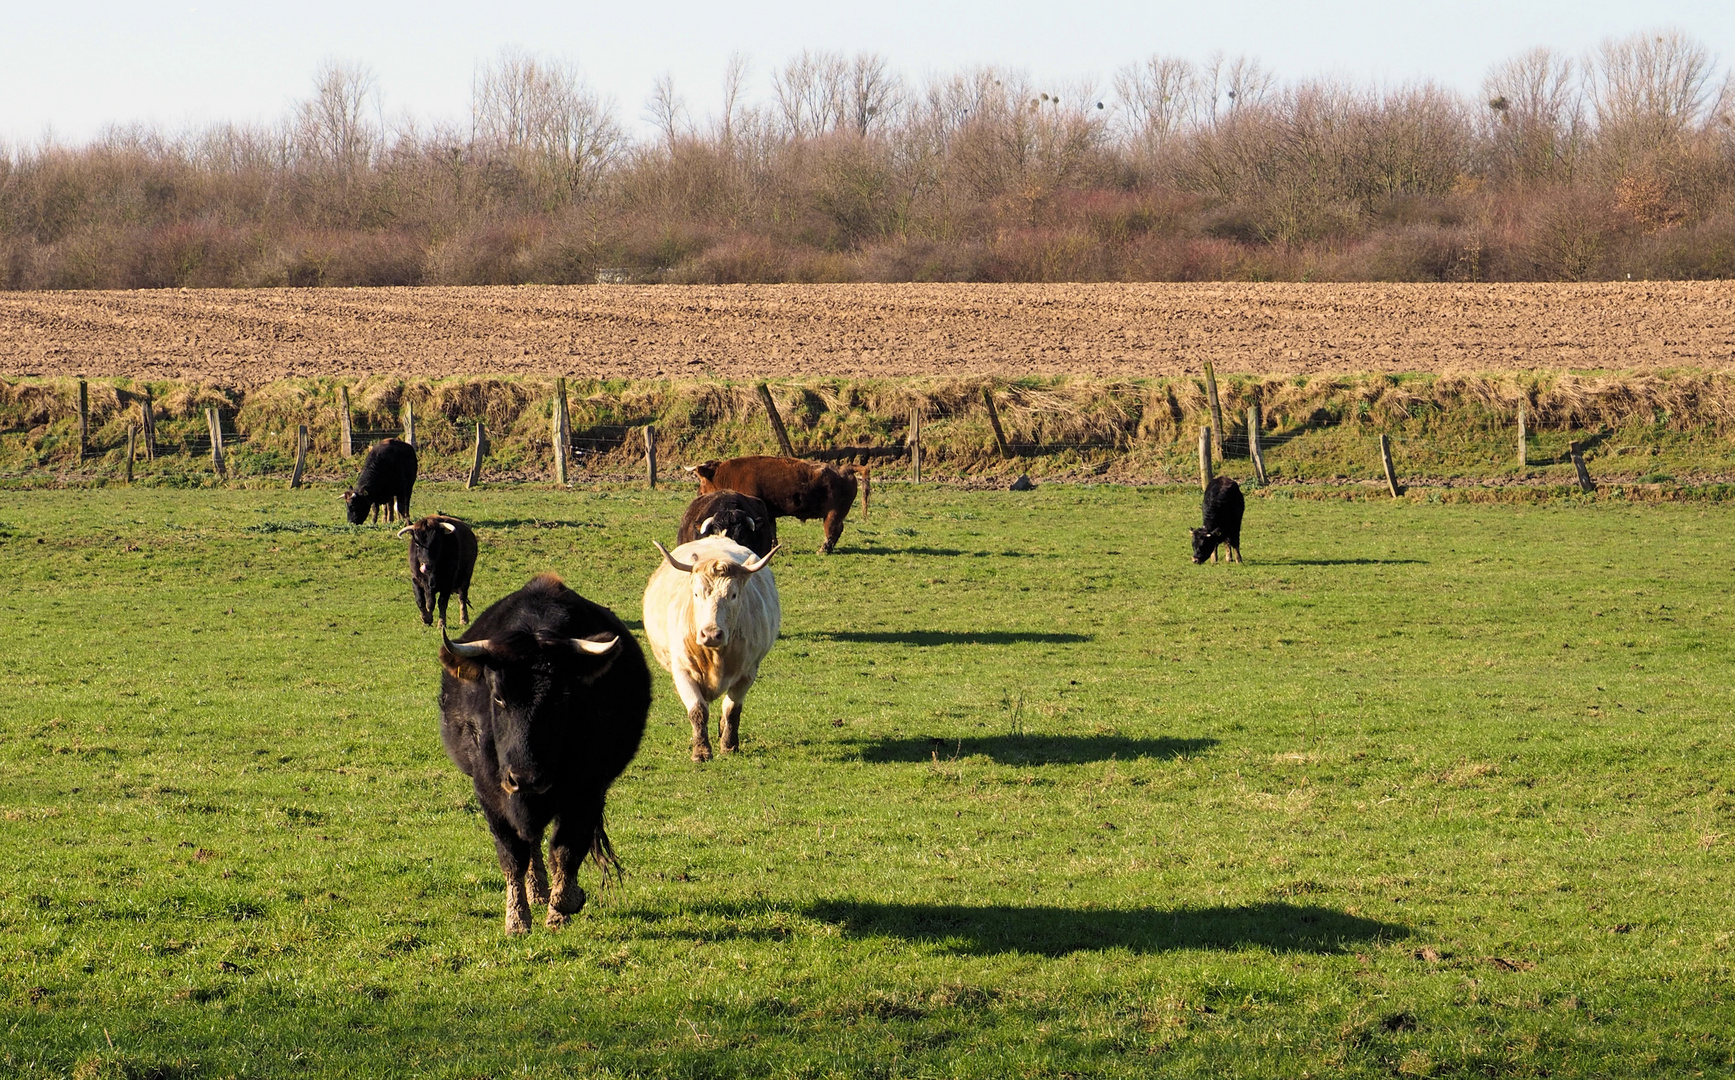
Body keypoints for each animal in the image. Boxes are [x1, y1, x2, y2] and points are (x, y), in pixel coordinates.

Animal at [433, 576, 652, 937]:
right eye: (498, 697)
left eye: (562, 697)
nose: (524, 778)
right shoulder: (489, 793)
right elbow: (512, 855)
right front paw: (517, 918)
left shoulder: (587, 790)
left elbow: (566, 849)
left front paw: (563, 906)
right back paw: (535, 891)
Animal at [645, 534, 780, 760]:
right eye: (696, 594)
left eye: (733, 595)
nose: (710, 634)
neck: (716, 656)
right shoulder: (682, 670)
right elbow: (698, 709)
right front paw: (701, 751)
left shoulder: (748, 672)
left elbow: (732, 709)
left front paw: (729, 745)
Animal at [680, 458, 864, 559]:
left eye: (701, 480)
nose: (699, 493)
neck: (725, 474)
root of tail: (844, 469)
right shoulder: (769, 515)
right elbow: (773, 531)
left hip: (833, 514)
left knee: (832, 531)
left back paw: (823, 550)